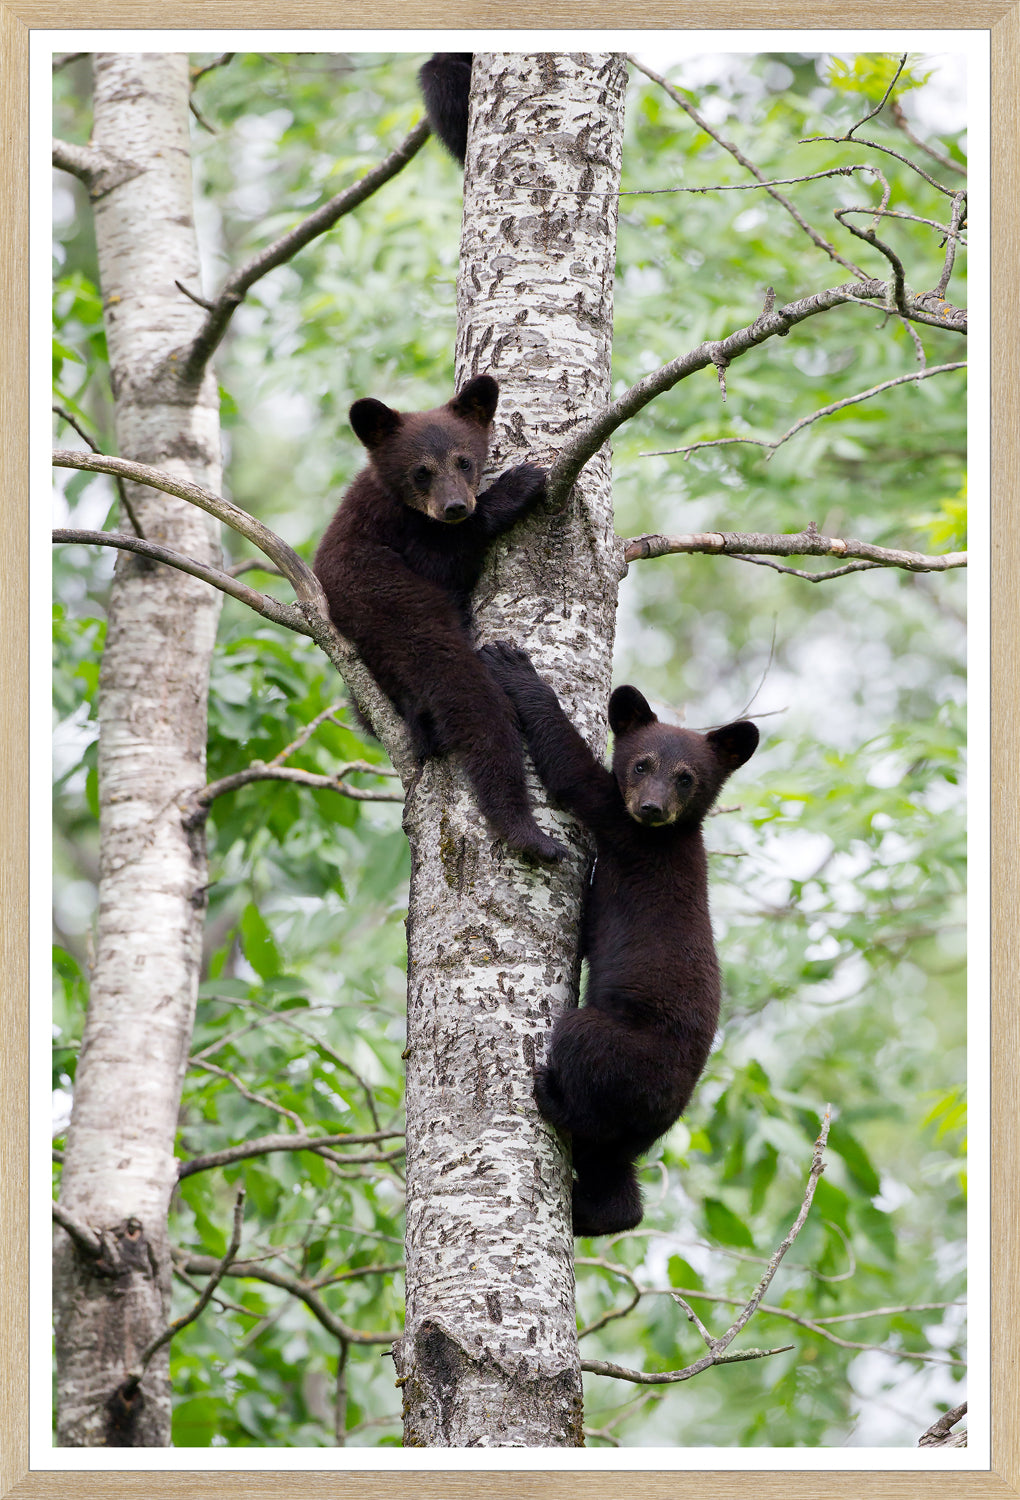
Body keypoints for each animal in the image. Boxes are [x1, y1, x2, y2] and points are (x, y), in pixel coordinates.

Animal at [314, 376, 566, 865]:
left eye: (464, 460)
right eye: (421, 471)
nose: (455, 507)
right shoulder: (401, 534)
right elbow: (444, 560)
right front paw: (518, 485)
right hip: (401, 621)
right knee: (473, 702)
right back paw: (528, 832)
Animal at [478, 642, 759, 1236]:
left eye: (686, 777)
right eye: (642, 763)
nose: (650, 808)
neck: (672, 835)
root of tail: (666, 1110)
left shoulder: (621, 825)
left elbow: (573, 774)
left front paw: (517, 670)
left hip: (619, 1050)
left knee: (585, 1078)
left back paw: (551, 1097)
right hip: (630, 1133)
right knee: (614, 1174)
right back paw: (598, 1213)